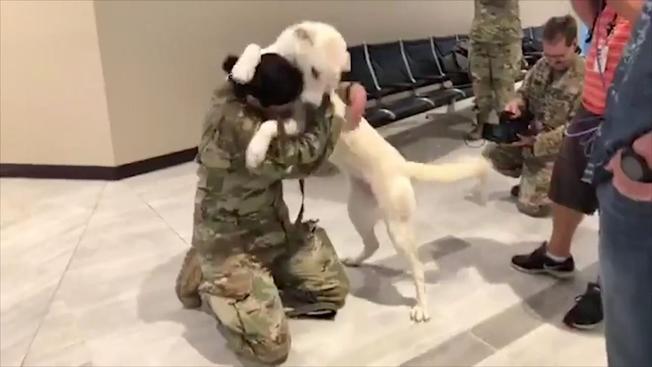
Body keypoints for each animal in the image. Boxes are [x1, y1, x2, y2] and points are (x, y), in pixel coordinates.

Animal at [232, 21, 486, 324]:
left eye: (333, 80)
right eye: (314, 72)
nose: (316, 106)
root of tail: (402, 164)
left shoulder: (299, 122)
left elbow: (270, 125)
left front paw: (255, 151)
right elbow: (255, 49)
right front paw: (242, 68)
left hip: (398, 228)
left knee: (417, 267)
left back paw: (421, 307)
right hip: (358, 211)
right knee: (373, 243)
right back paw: (356, 259)